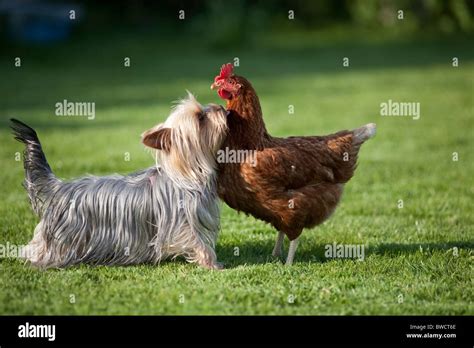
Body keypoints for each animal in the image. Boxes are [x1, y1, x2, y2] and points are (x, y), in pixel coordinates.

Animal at [9, 94, 228, 270]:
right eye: (200, 118)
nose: (221, 107)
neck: (186, 174)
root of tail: (59, 187)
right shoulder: (181, 222)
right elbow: (197, 242)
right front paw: (212, 264)